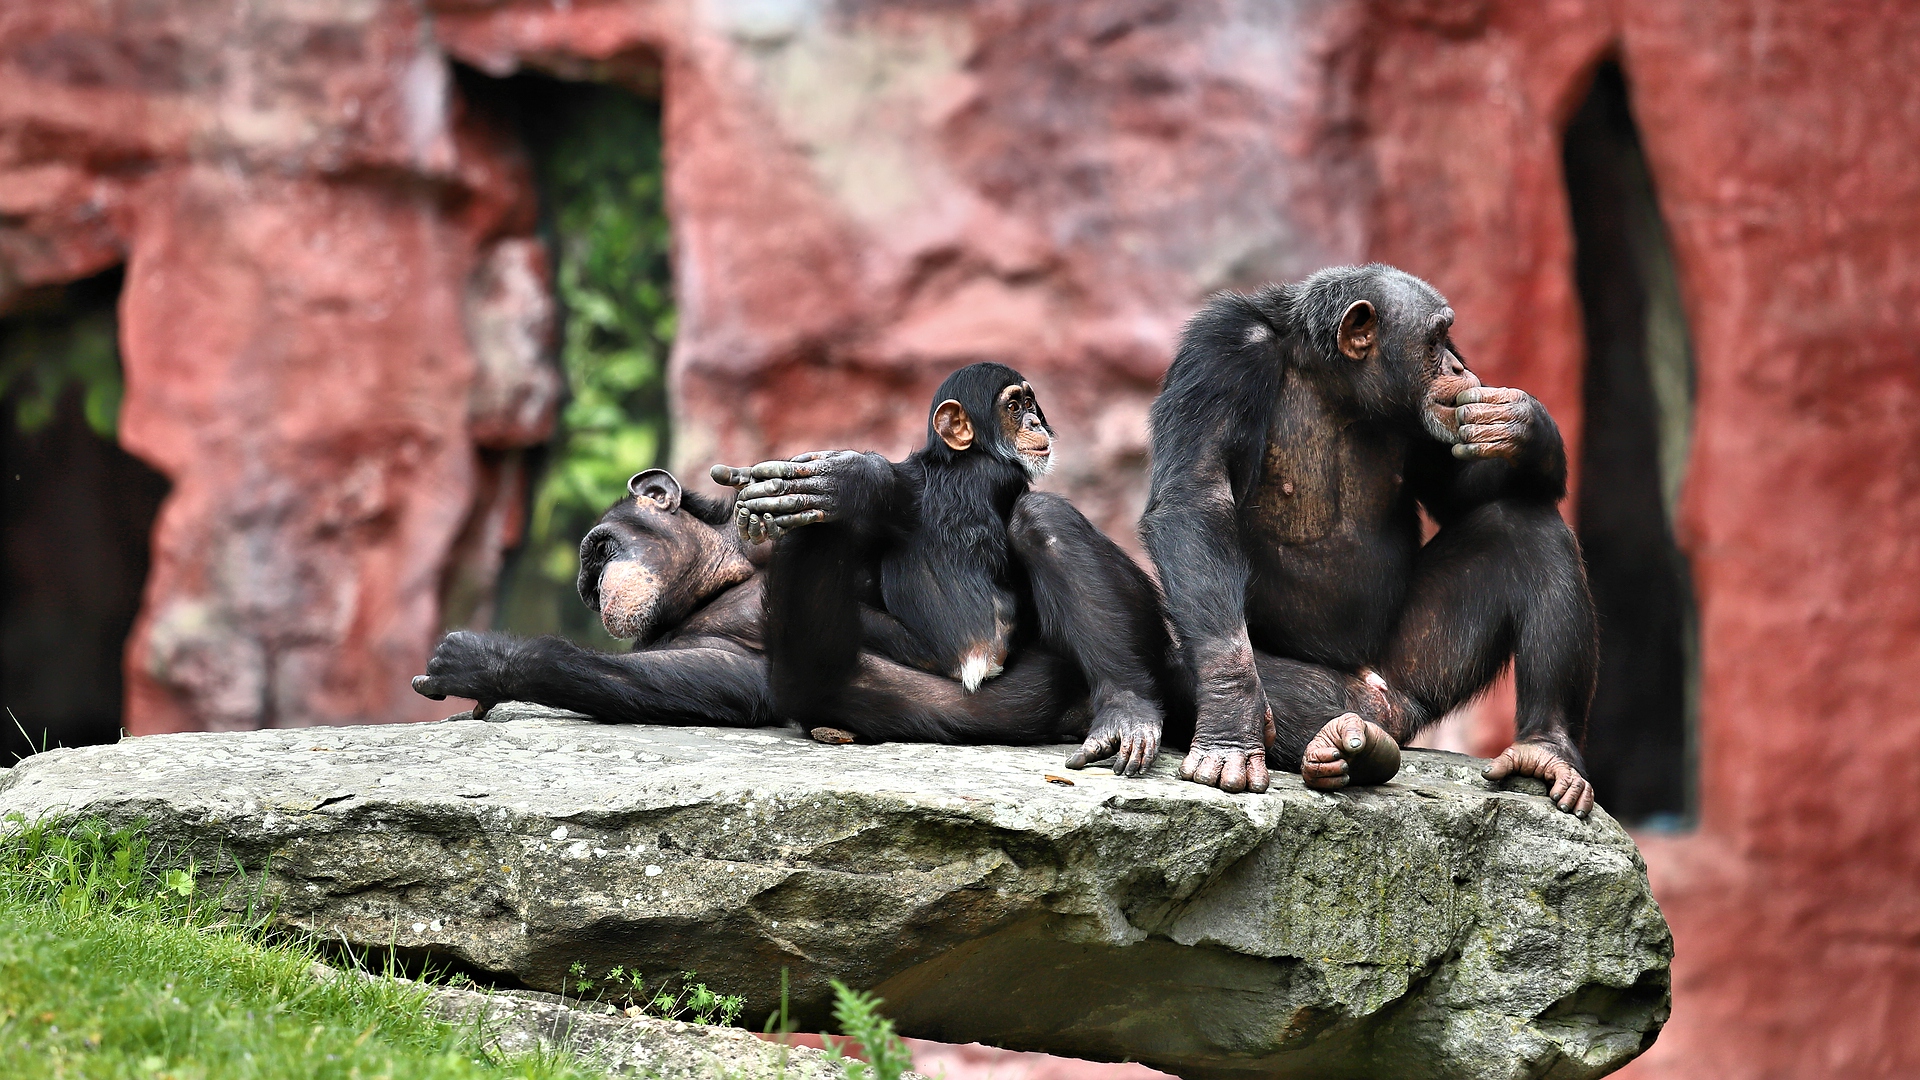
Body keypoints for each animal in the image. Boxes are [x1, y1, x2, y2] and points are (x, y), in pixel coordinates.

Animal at [714, 361, 1175, 772]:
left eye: (1030, 403)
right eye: (1013, 407)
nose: (1034, 422)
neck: (957, 461)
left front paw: (847, 479)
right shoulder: (982, 483)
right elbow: (977, 637)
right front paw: (855, 481)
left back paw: (1126, 712)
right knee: (1044, 515)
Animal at [1136, 265, 1605, 810]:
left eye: (1448, 340)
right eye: (1433, 341)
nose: (1458, 367)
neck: (1334, 378)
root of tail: (1382, 707)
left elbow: (1461, 490)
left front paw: (1523, 423)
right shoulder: (1219, 352)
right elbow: (1198, 493)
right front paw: (1230, 720)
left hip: (1415, 671)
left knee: (1526, 527)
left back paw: (1544, 750)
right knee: (1179, 661)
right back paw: (1340, 744)